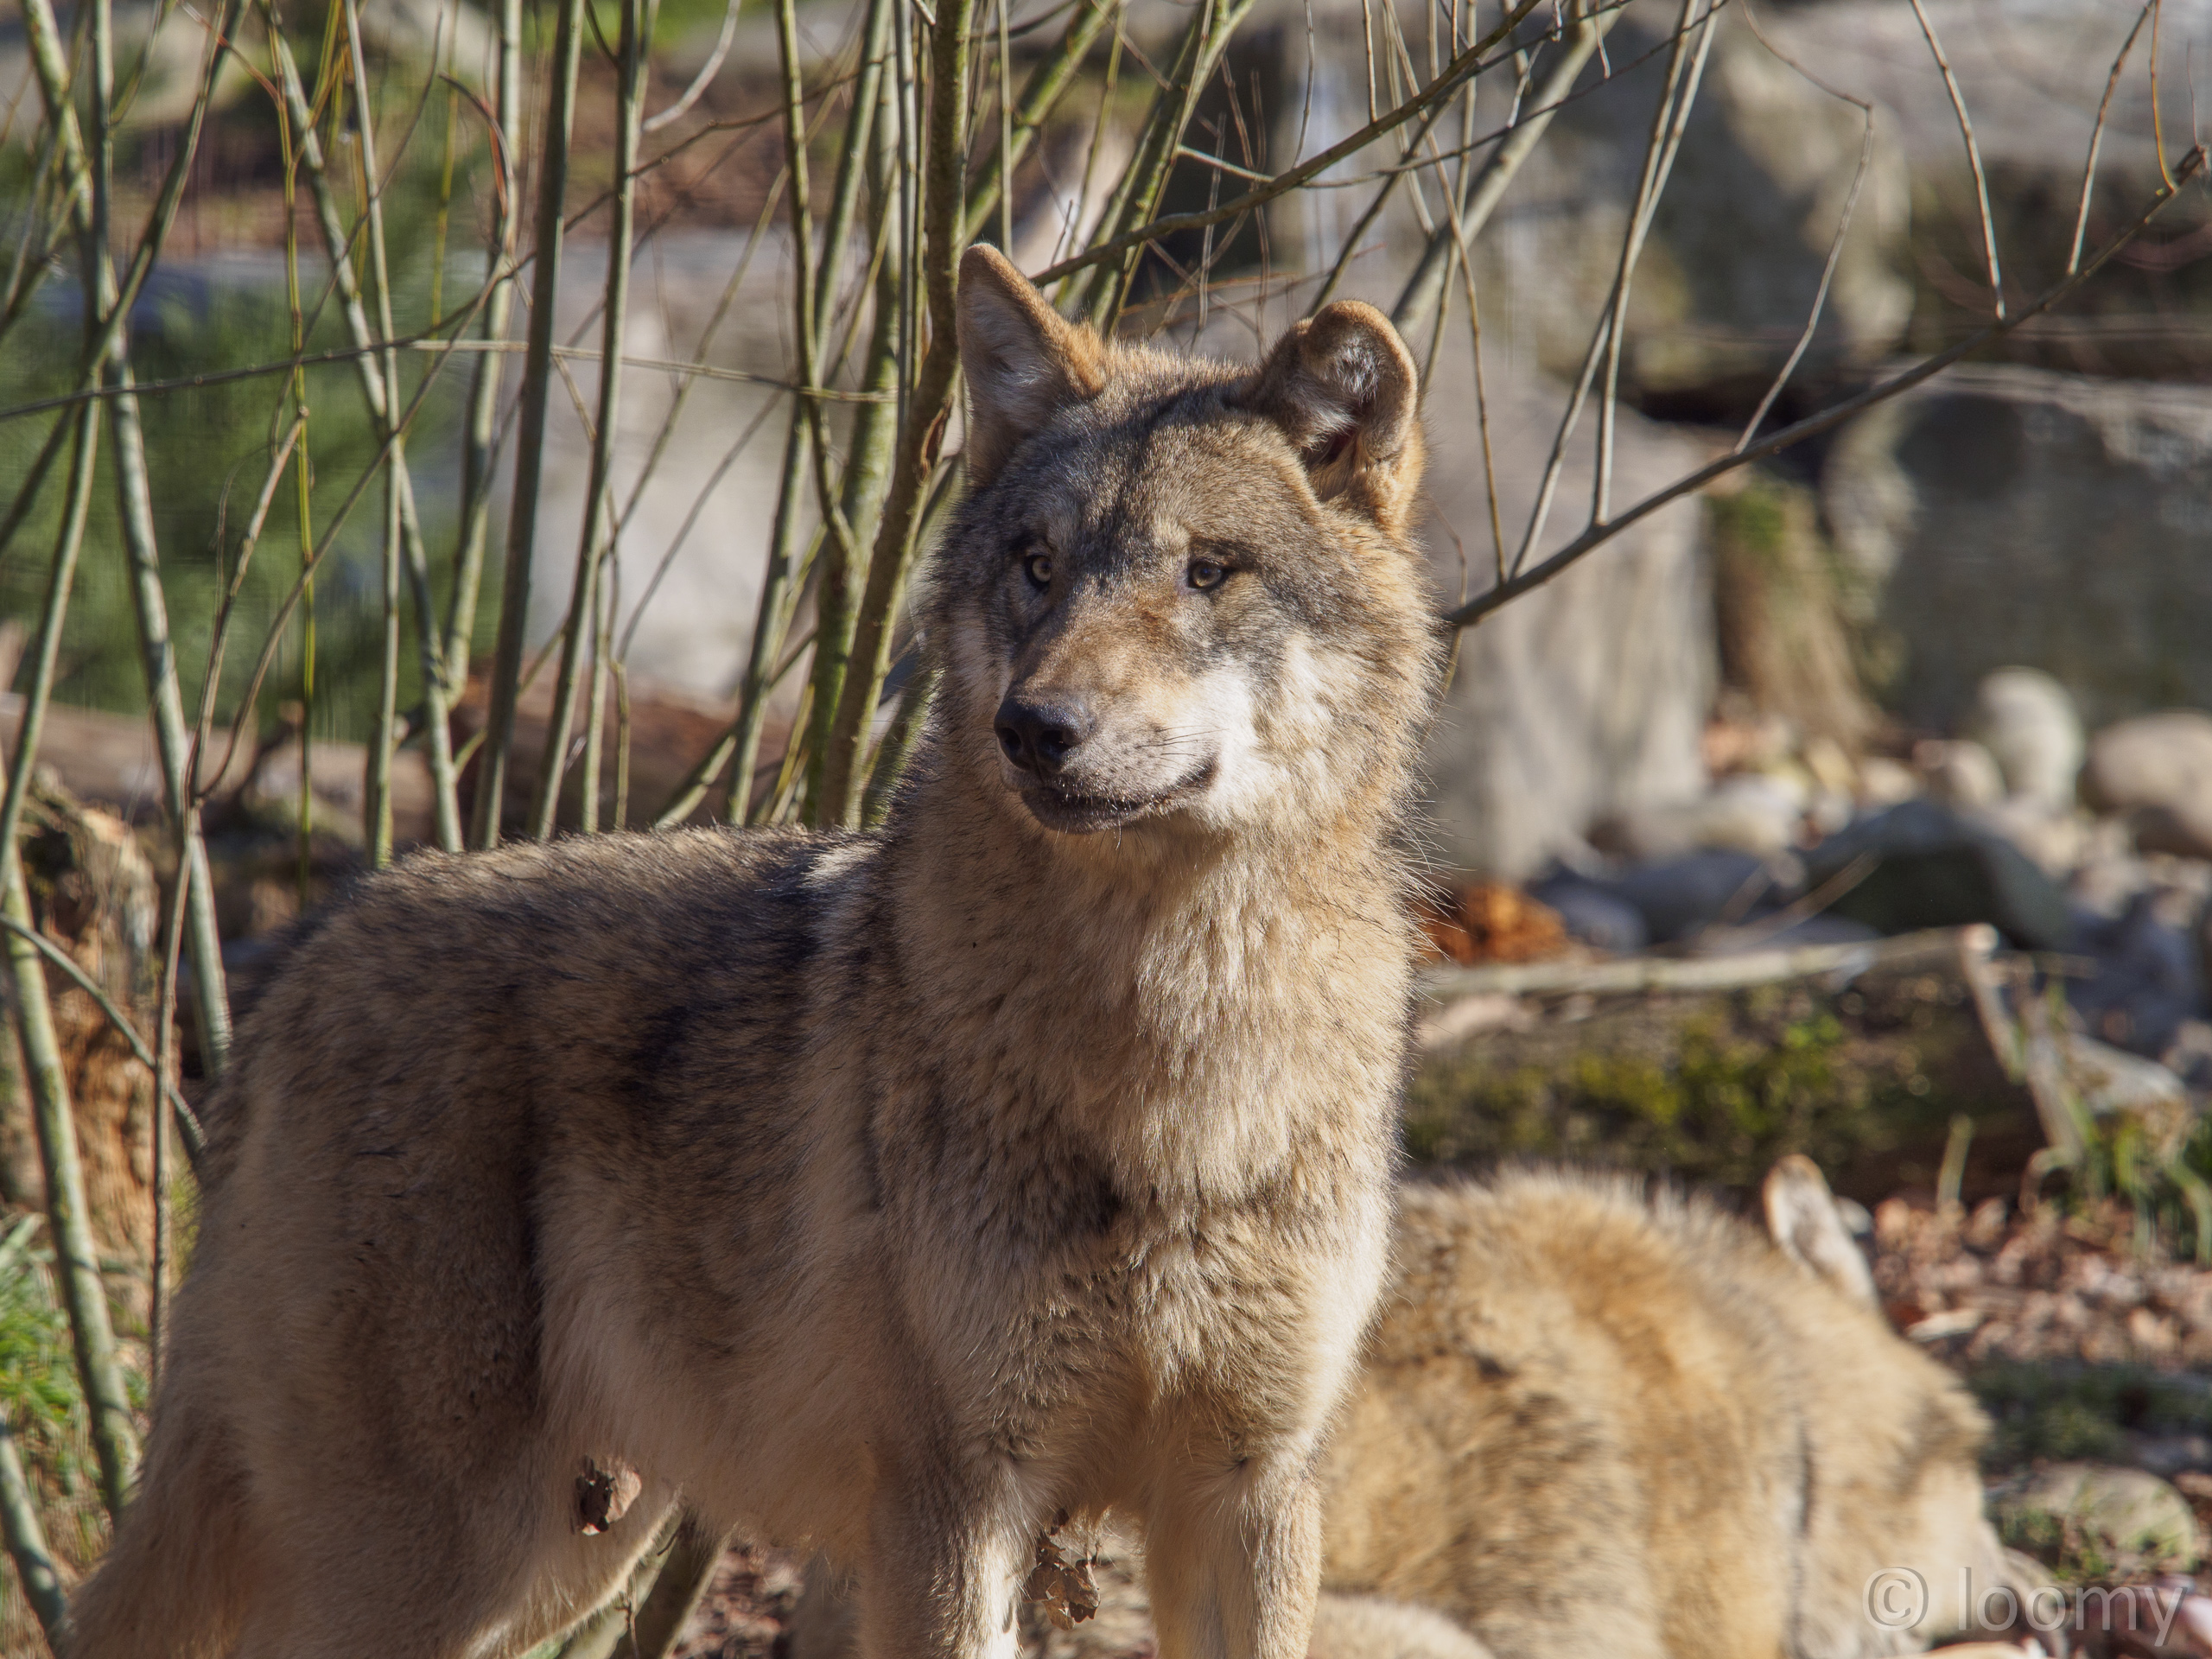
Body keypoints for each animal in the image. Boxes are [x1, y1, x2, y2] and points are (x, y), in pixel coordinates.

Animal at [68, 246, 1444, 1659]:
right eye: (1038, 565)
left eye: (1208, 571)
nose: (1034, 727)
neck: (1175, 1059)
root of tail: (301, 957)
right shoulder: (955, 1501)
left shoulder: (1250, 1493)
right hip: (435, 1562)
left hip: (558, 1559)